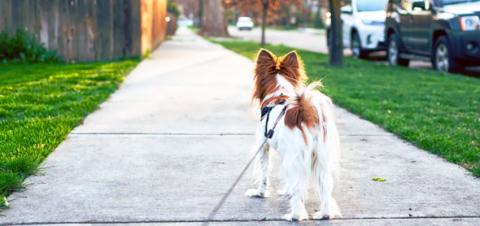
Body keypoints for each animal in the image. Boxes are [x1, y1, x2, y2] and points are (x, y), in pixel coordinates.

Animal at [246, 49, 344, 221]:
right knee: (325, 187)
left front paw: (260, 193)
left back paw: (295, 215)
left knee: (299, 187)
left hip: (297, 157)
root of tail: (306, 112)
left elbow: (264, 174)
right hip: (320, 158)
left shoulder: (263, 146)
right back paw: (324, 214)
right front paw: (286, 191)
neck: (278, 95)